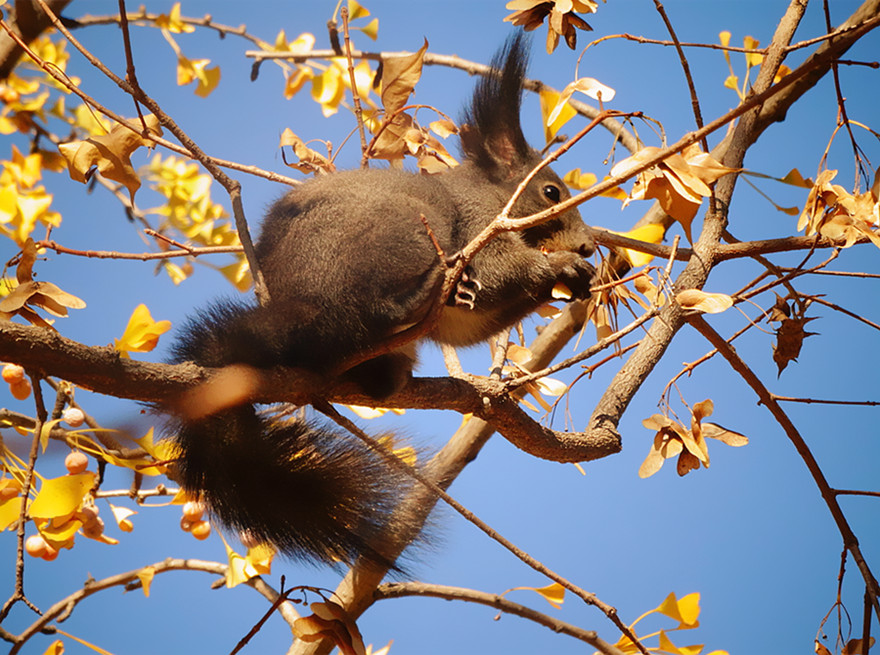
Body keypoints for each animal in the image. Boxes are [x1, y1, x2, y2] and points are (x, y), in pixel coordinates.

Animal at [168, 34, 596, 568]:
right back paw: (419, 294)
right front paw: (561, 269)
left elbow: (468, 325)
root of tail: (305, 309)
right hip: (406, 231)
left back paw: (384, 371)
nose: (589, 246)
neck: (492, 197)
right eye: (551, 191)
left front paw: (577, 281)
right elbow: (498, 270)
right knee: (378, 306)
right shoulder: (476, 227)